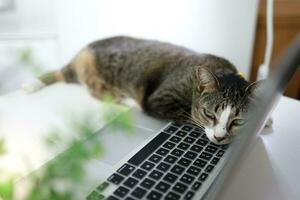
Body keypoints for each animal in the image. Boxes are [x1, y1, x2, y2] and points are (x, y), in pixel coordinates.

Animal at [22, 36, 268, 145]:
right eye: (210, 114)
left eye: (237, 120)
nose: (219, 138)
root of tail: (83, 50)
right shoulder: (160, 99)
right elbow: (187, 115)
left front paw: (265, 121)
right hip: (89, 73)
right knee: (73, 80)